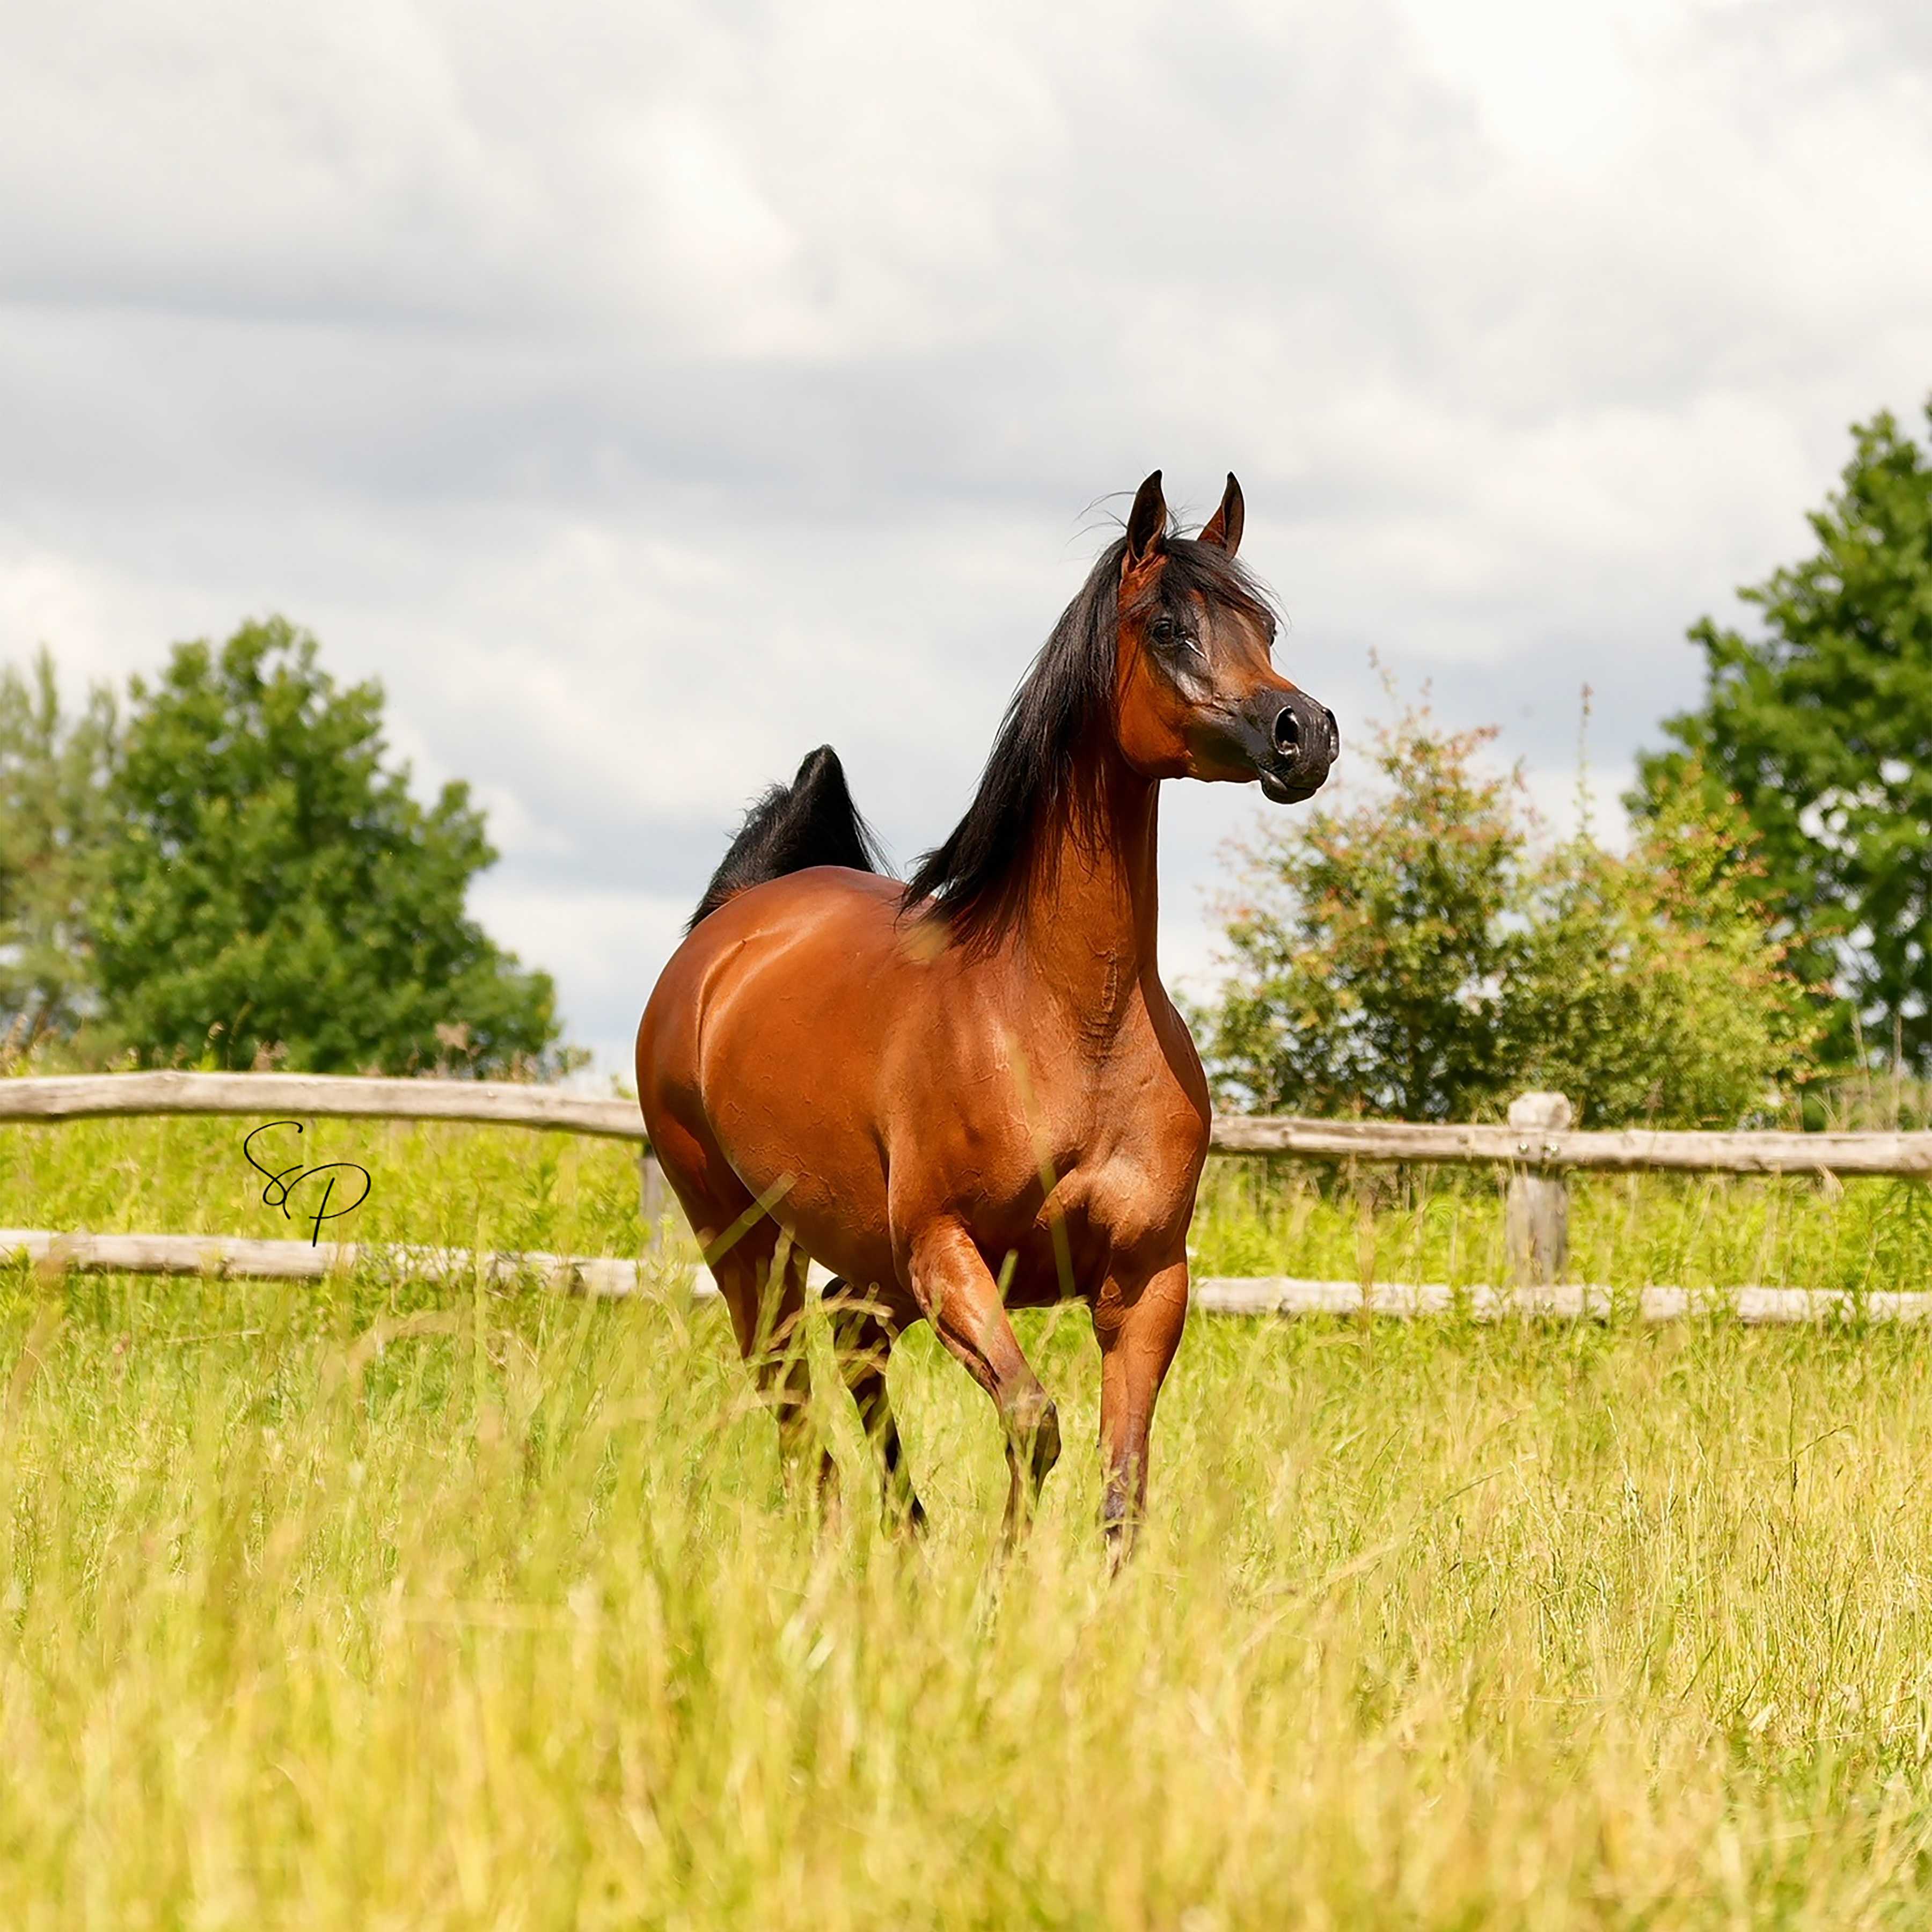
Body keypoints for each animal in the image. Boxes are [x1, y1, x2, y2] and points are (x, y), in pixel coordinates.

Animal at [636, 471, 1337, 1557]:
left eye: (1262, 625)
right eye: (1168, 625)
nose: (1304, 734)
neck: (1066, 1020)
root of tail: (729, 931)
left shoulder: (1147, 1281)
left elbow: (1123, 1486)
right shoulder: (949, 1252)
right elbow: (1034, 1421)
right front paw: (1002, 1579)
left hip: (867, 1264)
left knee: (849, 1342)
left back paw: (907, 1537)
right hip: (744, 1241)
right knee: (788, 1392)